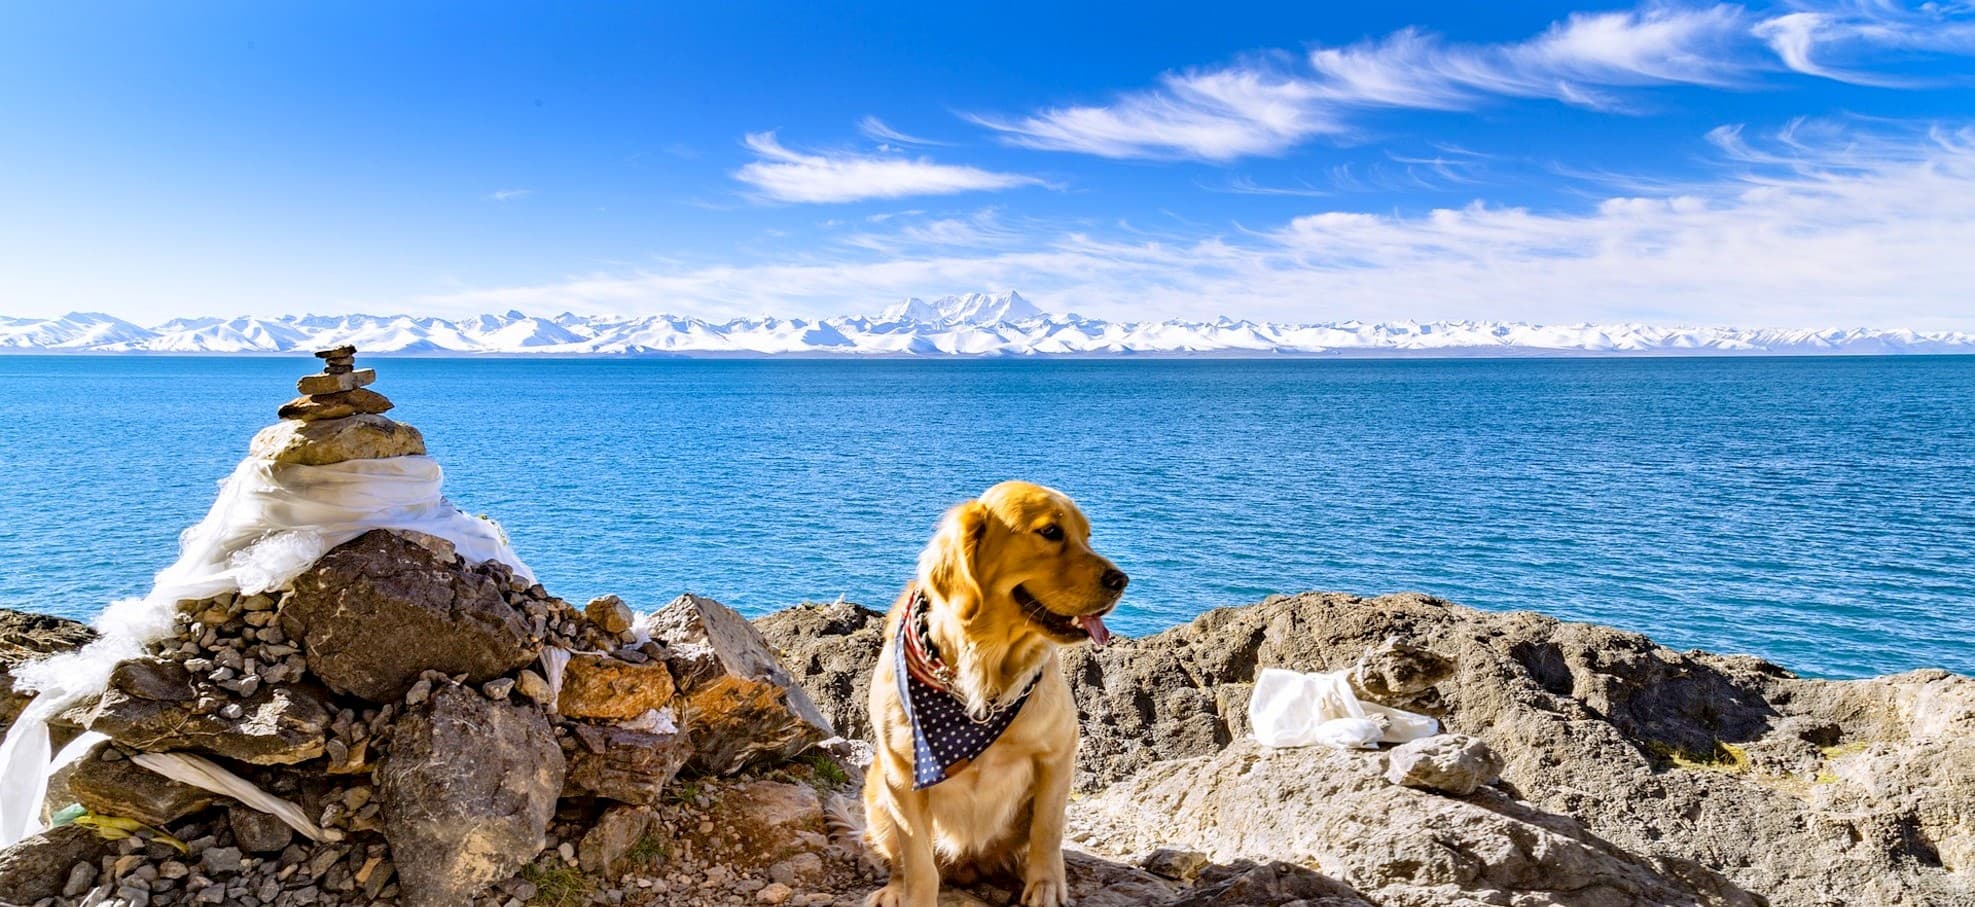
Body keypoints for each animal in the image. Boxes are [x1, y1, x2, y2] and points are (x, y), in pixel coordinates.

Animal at [861, 480, 1129, 905]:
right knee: (900, 858)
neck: (985, 671)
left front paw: (1046, 886)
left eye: (1087, 536)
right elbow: (918, 860)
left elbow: (1048, 829)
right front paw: (914, 894)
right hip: (876, 789)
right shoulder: (902, 773)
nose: (1121, 580)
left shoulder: (1058, 752)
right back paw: (894, 889)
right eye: (1050, 531)